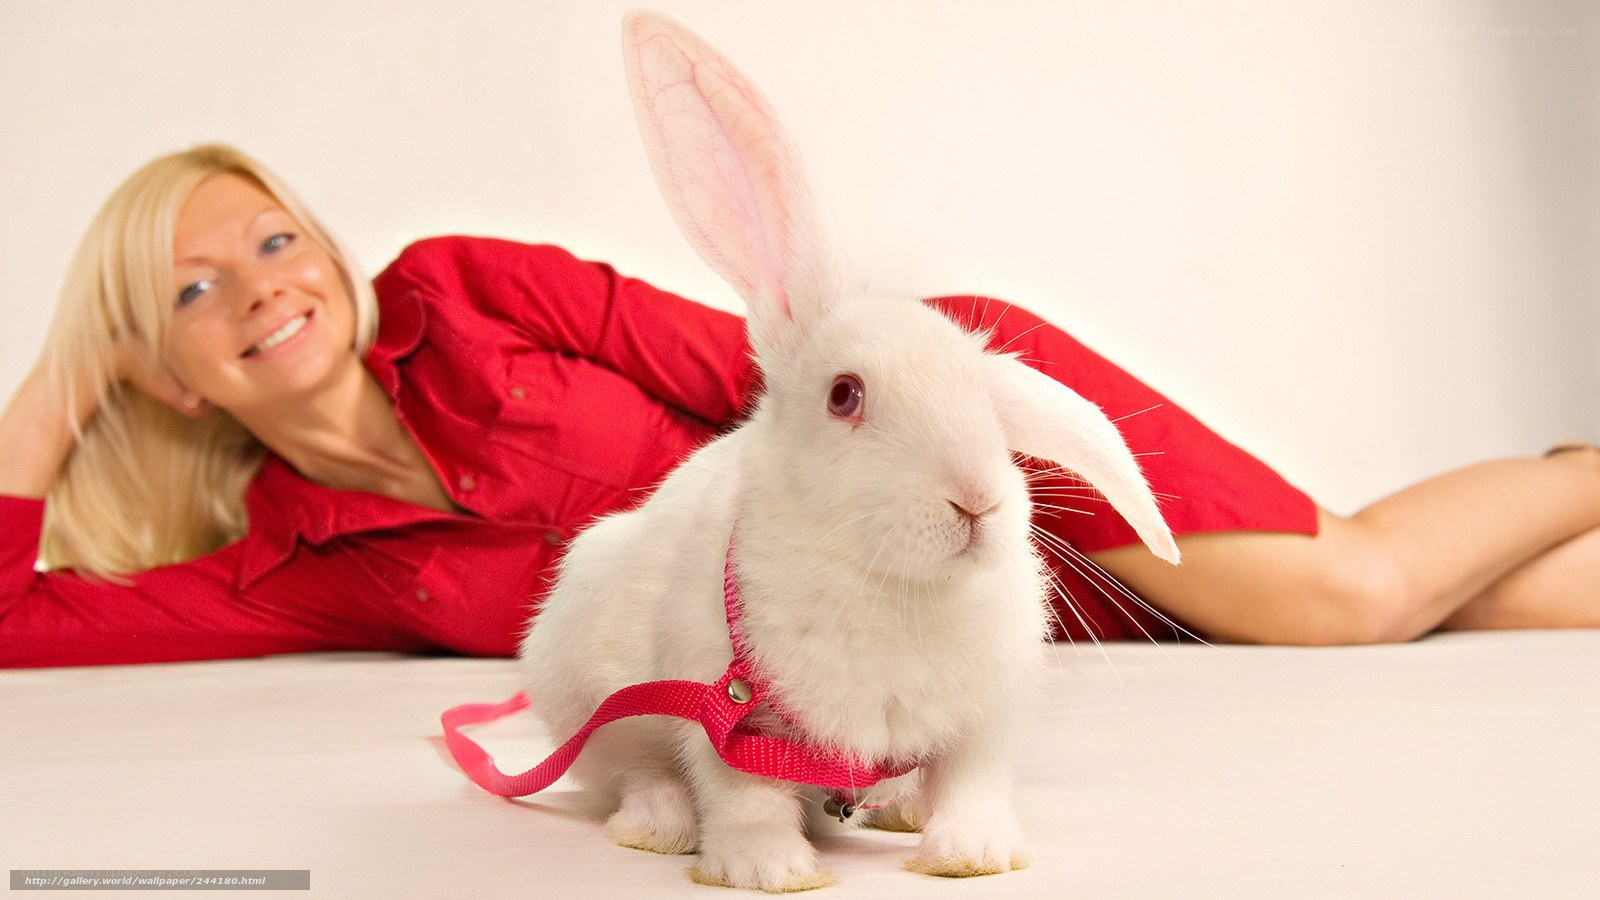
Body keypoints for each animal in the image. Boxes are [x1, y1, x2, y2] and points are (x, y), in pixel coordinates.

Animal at [518, 9, 1181, 893]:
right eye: (844, 396)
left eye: (985, 400)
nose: (977, 499)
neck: (897, 587)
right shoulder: (721, 703)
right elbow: (742, 793)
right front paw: (769, 870)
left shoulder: (982, 717)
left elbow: (972, 779)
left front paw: (973, 855)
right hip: (582, 686)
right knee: (636, 770)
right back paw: (659, 826)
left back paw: (898, 808)